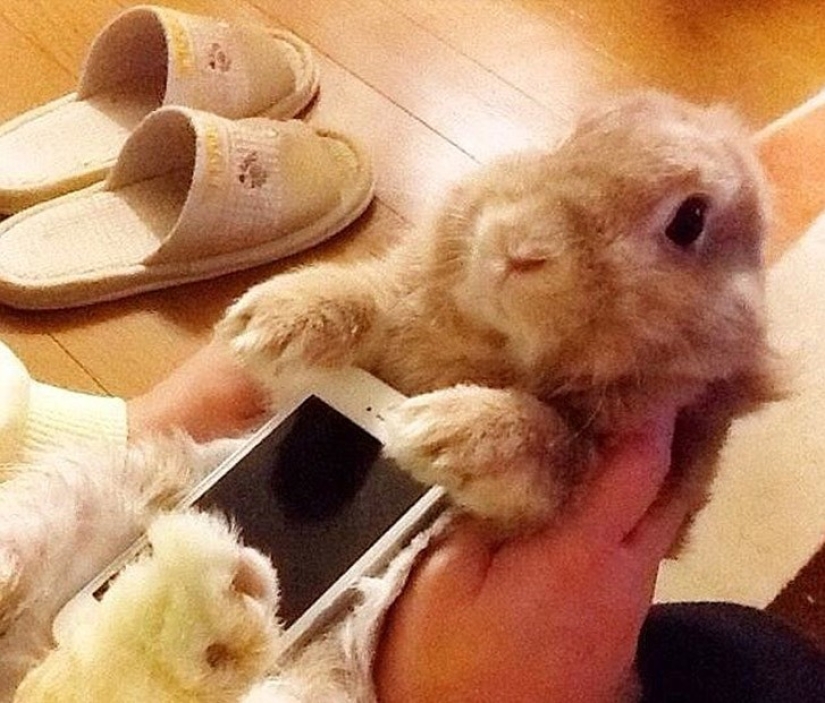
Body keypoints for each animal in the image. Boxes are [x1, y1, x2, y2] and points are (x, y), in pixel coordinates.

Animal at [217, 90, 779, 533]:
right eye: (569, 136)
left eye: (689, 220)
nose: (520, 246)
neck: (492, 339)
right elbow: (365, 299)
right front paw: (270, 323)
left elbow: (555, 450)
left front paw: (445, 434)